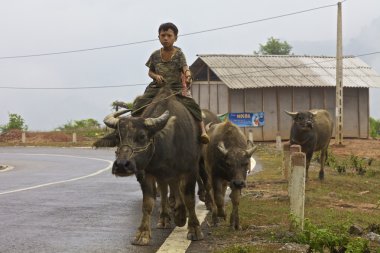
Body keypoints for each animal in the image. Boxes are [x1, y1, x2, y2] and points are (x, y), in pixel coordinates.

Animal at [94, 88, 203, 246]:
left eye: (142, 136)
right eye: (118, 138)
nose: (121, 165)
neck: (169, 143)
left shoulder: (191, 171)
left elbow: (189, 198)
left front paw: (194, 229)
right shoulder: (146, 173)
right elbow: (148, 203)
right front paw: (142, 234)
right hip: (164, 175)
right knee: (165, 192)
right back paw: (166, 217)